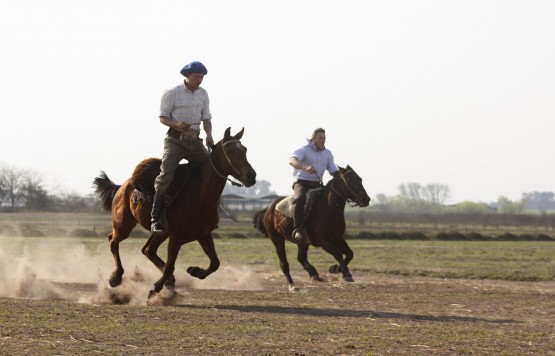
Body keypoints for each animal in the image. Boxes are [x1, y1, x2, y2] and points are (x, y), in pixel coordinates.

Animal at [93, 128, 256, 298]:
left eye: (244, 150)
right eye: (230, 151)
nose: (251, 176)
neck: (199, 195)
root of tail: (122, 186)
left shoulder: (203, 235)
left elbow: (215, 263)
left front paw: (194, 271)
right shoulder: (176, 238)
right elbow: (170, 265)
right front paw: (155, 289)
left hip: (160, 233)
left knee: (147, 250)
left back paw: (169, 280)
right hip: (123, 225)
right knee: (113, 241)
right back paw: (116, 277)